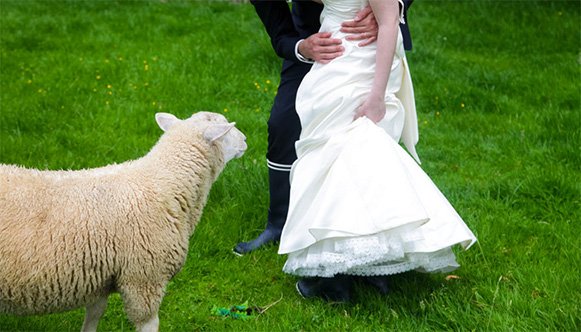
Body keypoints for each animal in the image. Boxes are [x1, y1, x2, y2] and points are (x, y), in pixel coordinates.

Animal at [0, 112, 246, 332]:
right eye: (226, 129)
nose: (245, 140)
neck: (165, 185)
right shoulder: (144, 280)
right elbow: (149, 325)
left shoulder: (98, 277)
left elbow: (94, 315)